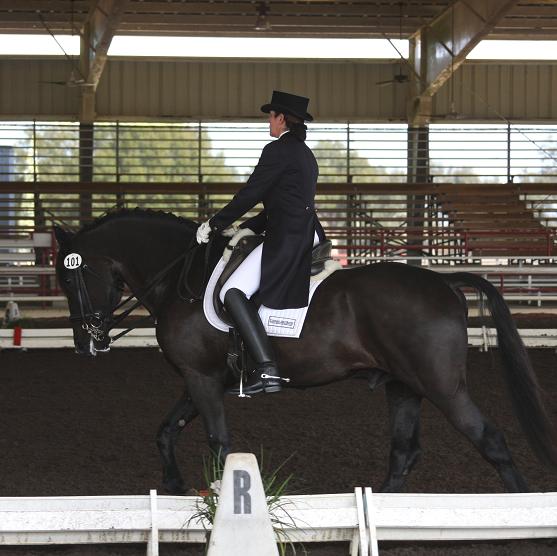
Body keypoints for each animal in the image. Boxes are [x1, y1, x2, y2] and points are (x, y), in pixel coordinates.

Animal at [53, 210, 556, 496]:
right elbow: (165, 430)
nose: (85, 343)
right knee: (404, 454)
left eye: (73, 277)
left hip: (441, 386)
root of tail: (446, 283)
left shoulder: (200, 378)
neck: (184, 276)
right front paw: (173, 485)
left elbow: (219, 441)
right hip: (403, 386)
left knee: (489, 440)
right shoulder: (200, 378)